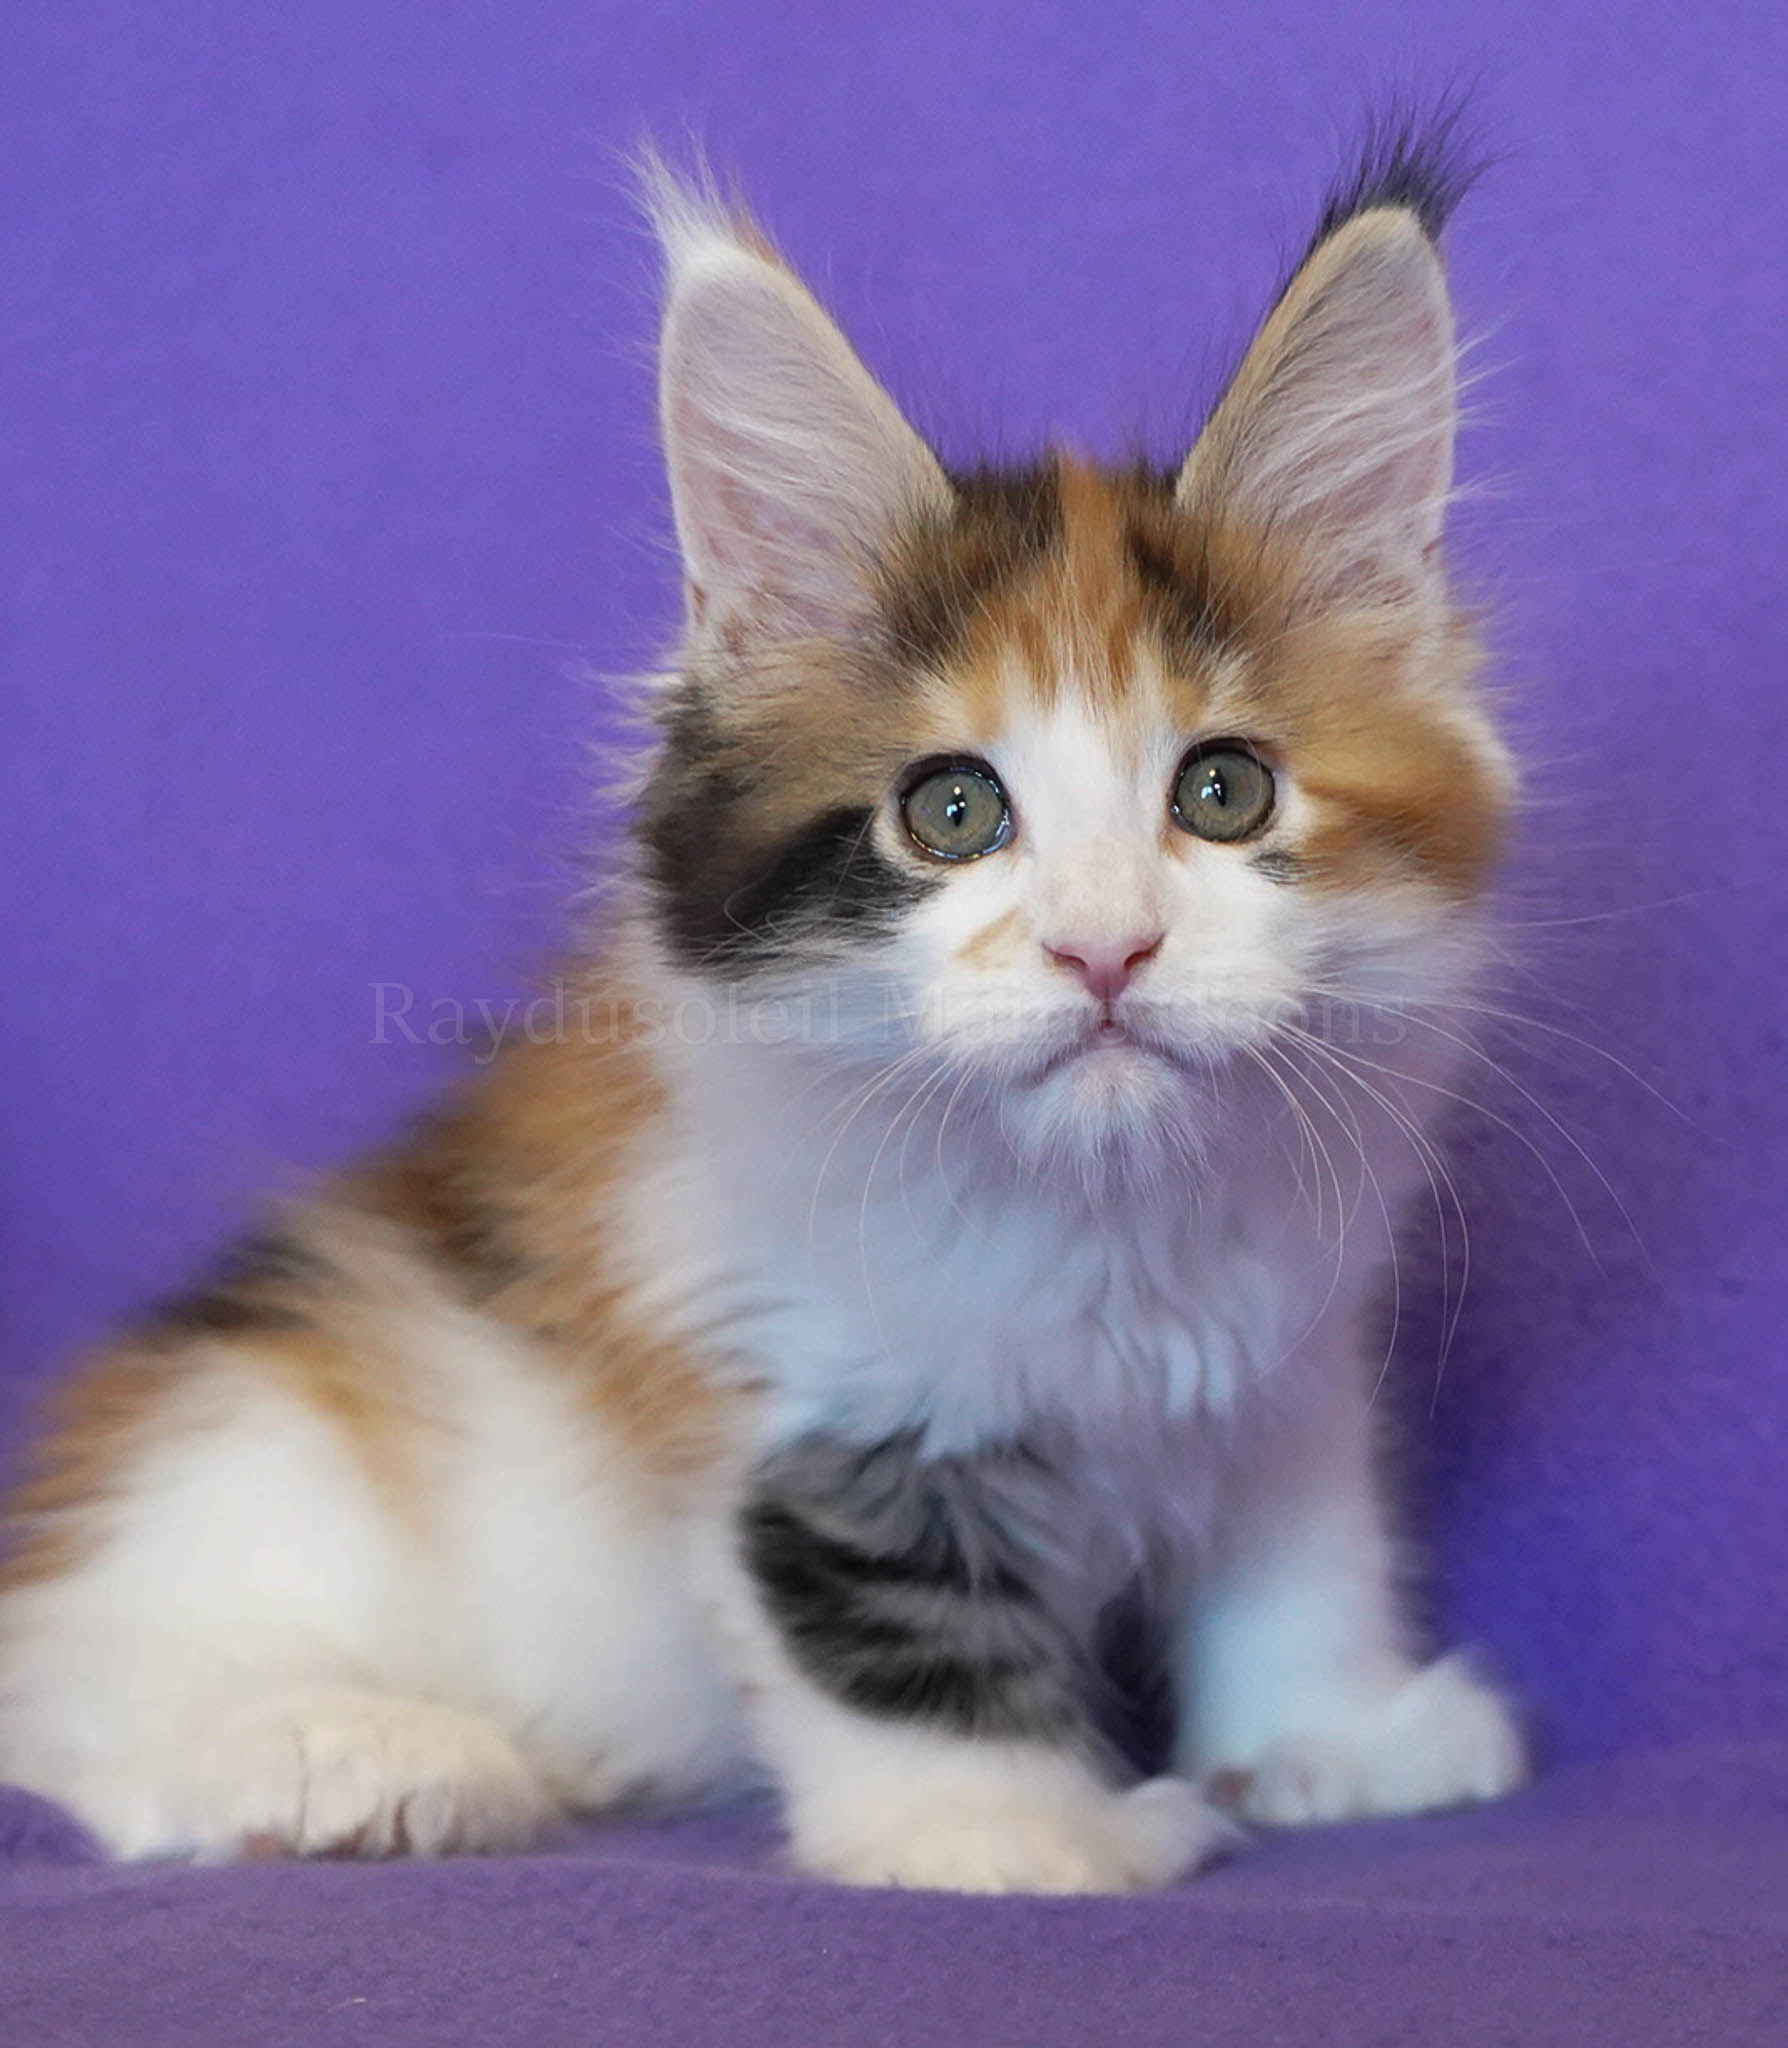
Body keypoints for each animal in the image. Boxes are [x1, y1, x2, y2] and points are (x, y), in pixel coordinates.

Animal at [0, 125, 1527, 1892]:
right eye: (953, 813)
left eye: (1223, 791)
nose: (1106, 952)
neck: (1105, 1216)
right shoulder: (802, 1380)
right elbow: (877, 1629)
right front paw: (1011, 1834)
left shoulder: (1287, 1365)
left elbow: (1301, 1552)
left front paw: (1339, 1743)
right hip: (262, 1449)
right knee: (95, 1698)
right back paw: (353, 1757)